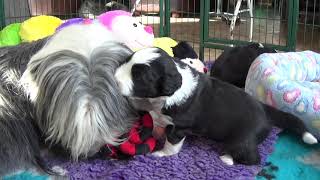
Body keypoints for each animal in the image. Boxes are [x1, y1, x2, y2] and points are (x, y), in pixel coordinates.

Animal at [115, 47, 318, 166]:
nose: (114, 79)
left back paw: (227, 158)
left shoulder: (179, 127)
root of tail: (265, 109)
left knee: (253, 158)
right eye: (126, 60)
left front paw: (162, 154)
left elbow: (171, 143)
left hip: (243, 138)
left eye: (139, 76)